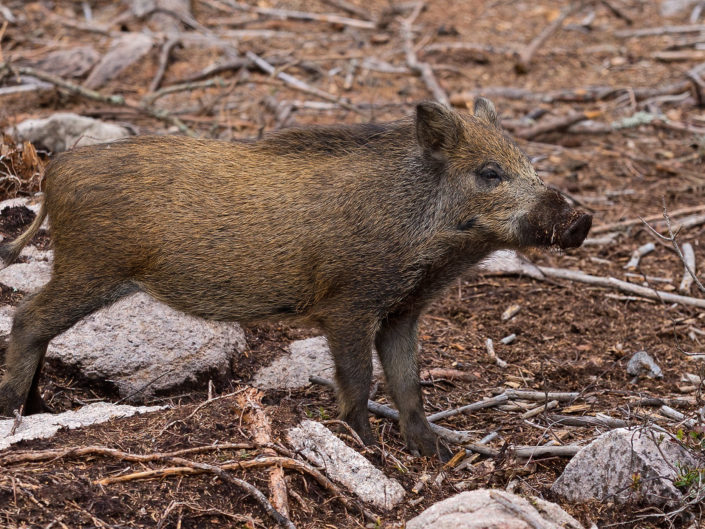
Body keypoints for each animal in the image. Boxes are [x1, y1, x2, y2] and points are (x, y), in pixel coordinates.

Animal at [0, 99, 591, 458]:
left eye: (531, 163)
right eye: (489, 173)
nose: (580, 219)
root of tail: (55, 173)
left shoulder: (402, 311)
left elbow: (409, 383)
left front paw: (435, 449)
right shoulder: (348, 304)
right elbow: (358, 379)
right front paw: (367, 447)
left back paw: (40, 409)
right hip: (91, 267)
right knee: (26, 318)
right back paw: (17, 411)